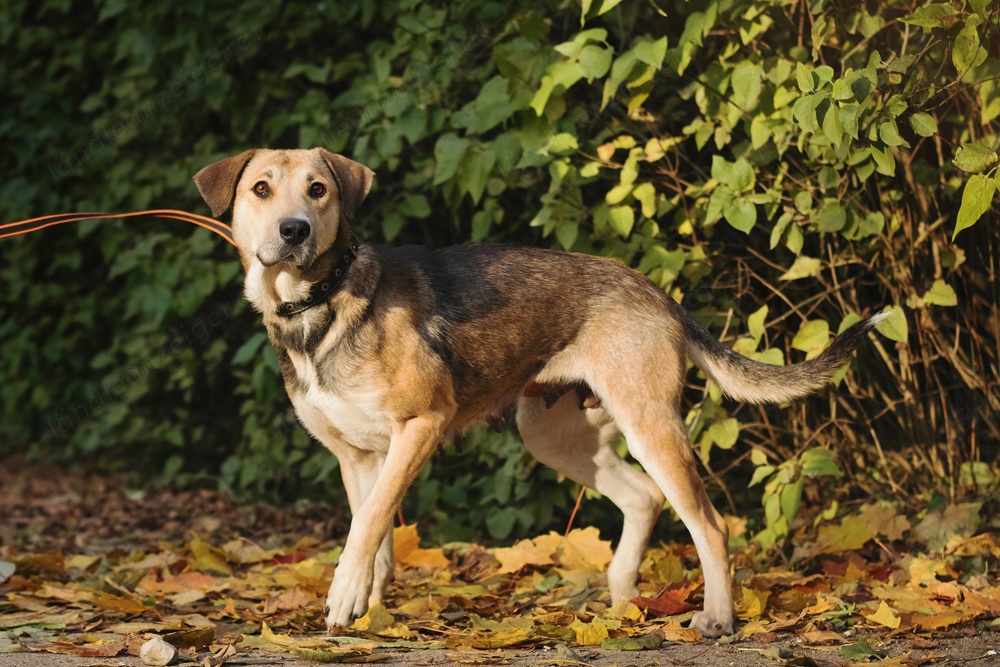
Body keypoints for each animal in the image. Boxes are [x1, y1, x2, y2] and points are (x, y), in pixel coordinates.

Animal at [191, 149, 888, 640]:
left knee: (709, 525)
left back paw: (716, 620)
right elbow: (375, 535)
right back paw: (620, 601)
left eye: (319, 189)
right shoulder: (358, 457)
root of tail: (657, 293)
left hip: (648, 425)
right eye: (260, 188)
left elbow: (365, 529)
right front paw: (367, 611)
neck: (318, 303)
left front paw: (344, 602)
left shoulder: (420, 426)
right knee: (641, 498)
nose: (294, 230)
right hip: (553, 433)